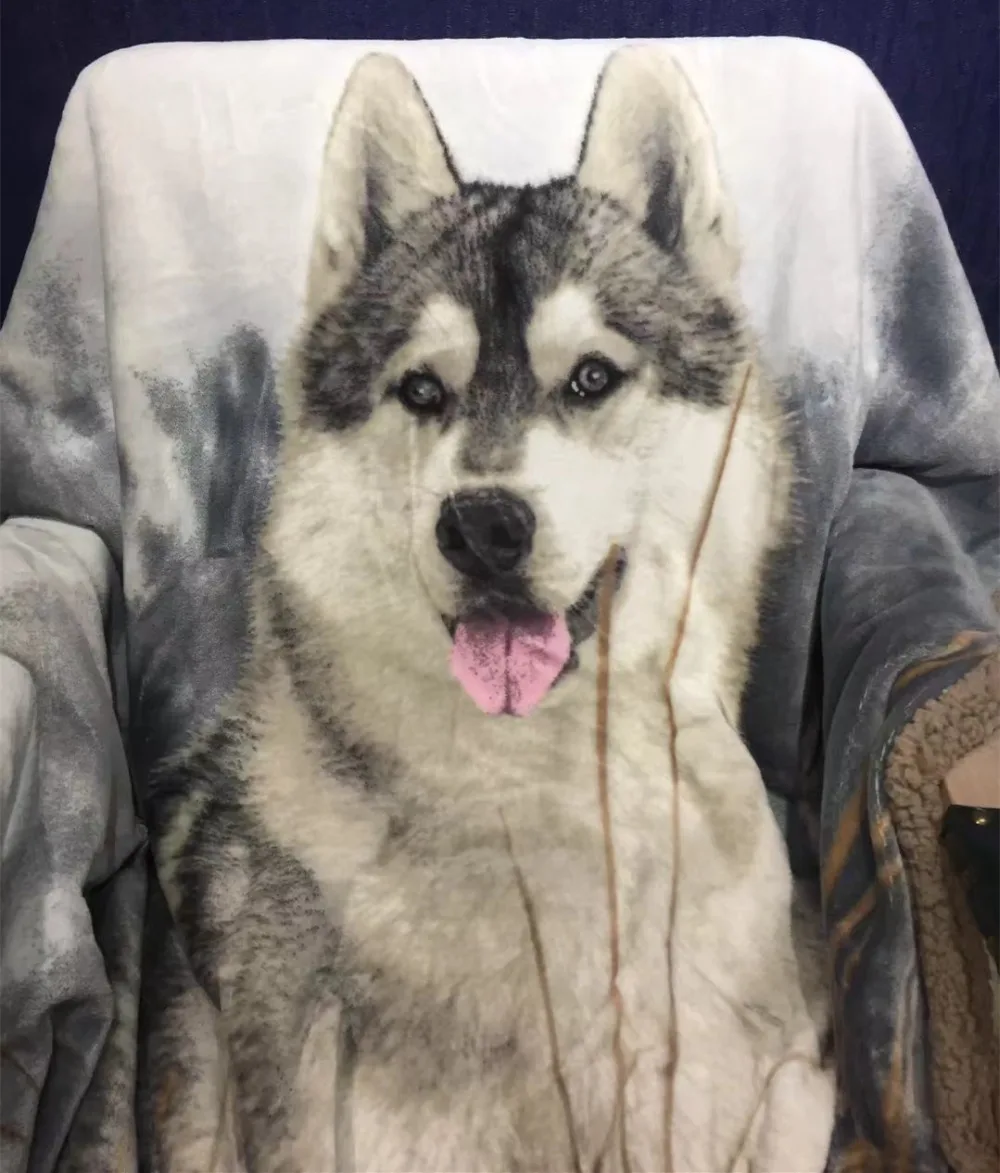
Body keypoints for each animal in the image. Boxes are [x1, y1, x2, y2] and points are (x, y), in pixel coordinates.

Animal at [141, 45, 836, 1172]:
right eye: (422, 391)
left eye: (591, 377)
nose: (481, 527)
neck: (548, 796)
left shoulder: (769, 1057)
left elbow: (795, 1095)